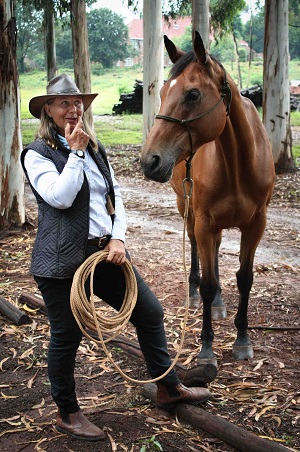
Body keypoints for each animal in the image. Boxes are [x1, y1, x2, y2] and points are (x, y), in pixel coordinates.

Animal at [141, 31, 274, 366]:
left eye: (192, 95)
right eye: (163, 91)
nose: (149, 161)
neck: (239, 164)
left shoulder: (256, 224)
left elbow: (244, 278)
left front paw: (242, 339)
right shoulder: (203, 221)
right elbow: (209, 281)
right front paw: (206, 349)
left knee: (214, 251)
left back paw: (219, 304)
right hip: (188, 211)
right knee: (198, 253)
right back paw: (195, 293)